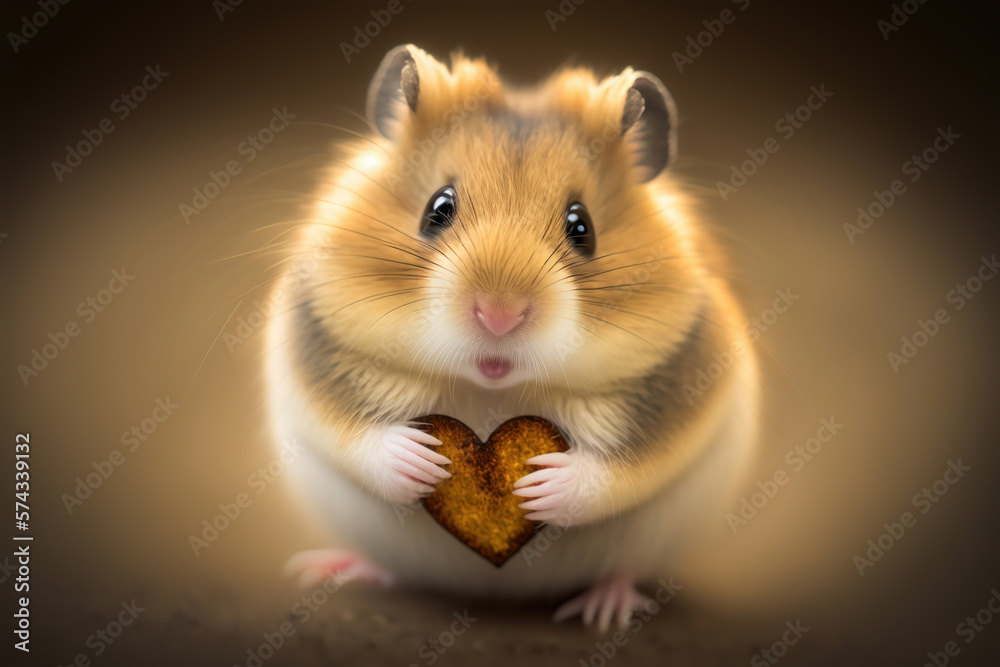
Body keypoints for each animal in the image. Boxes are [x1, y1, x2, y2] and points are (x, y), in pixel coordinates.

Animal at [265, 44, 759, 630]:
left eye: (582, 227)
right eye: (438, 208)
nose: (499, 316)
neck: (492, 389)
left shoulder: (678, 386)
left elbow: (623, 467)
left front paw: (541, 486)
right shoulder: (317, 354)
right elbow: (352, 431)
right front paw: (423, 460)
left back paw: (604, 611)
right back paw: (327, 569)